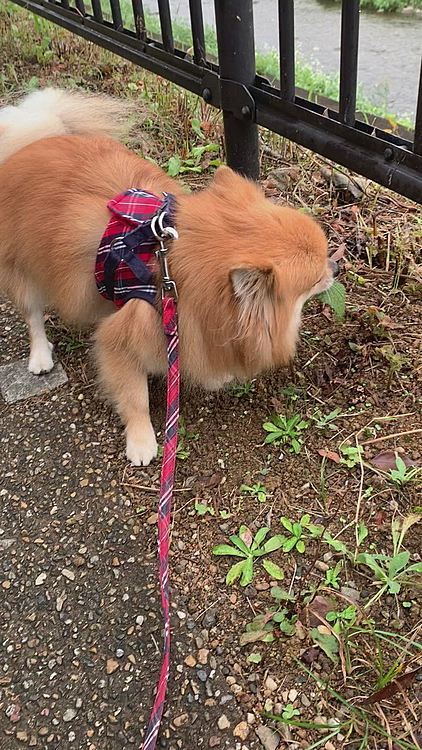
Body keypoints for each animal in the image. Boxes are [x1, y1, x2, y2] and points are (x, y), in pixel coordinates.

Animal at [0, 86, 336, 464]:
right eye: (316, 277)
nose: (335, 268)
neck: (170, 272)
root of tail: (34, 140)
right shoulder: (123, 336)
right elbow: (135, 397)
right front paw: (141, 442)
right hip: (21, 274)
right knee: (33, 317)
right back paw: (40, 356)